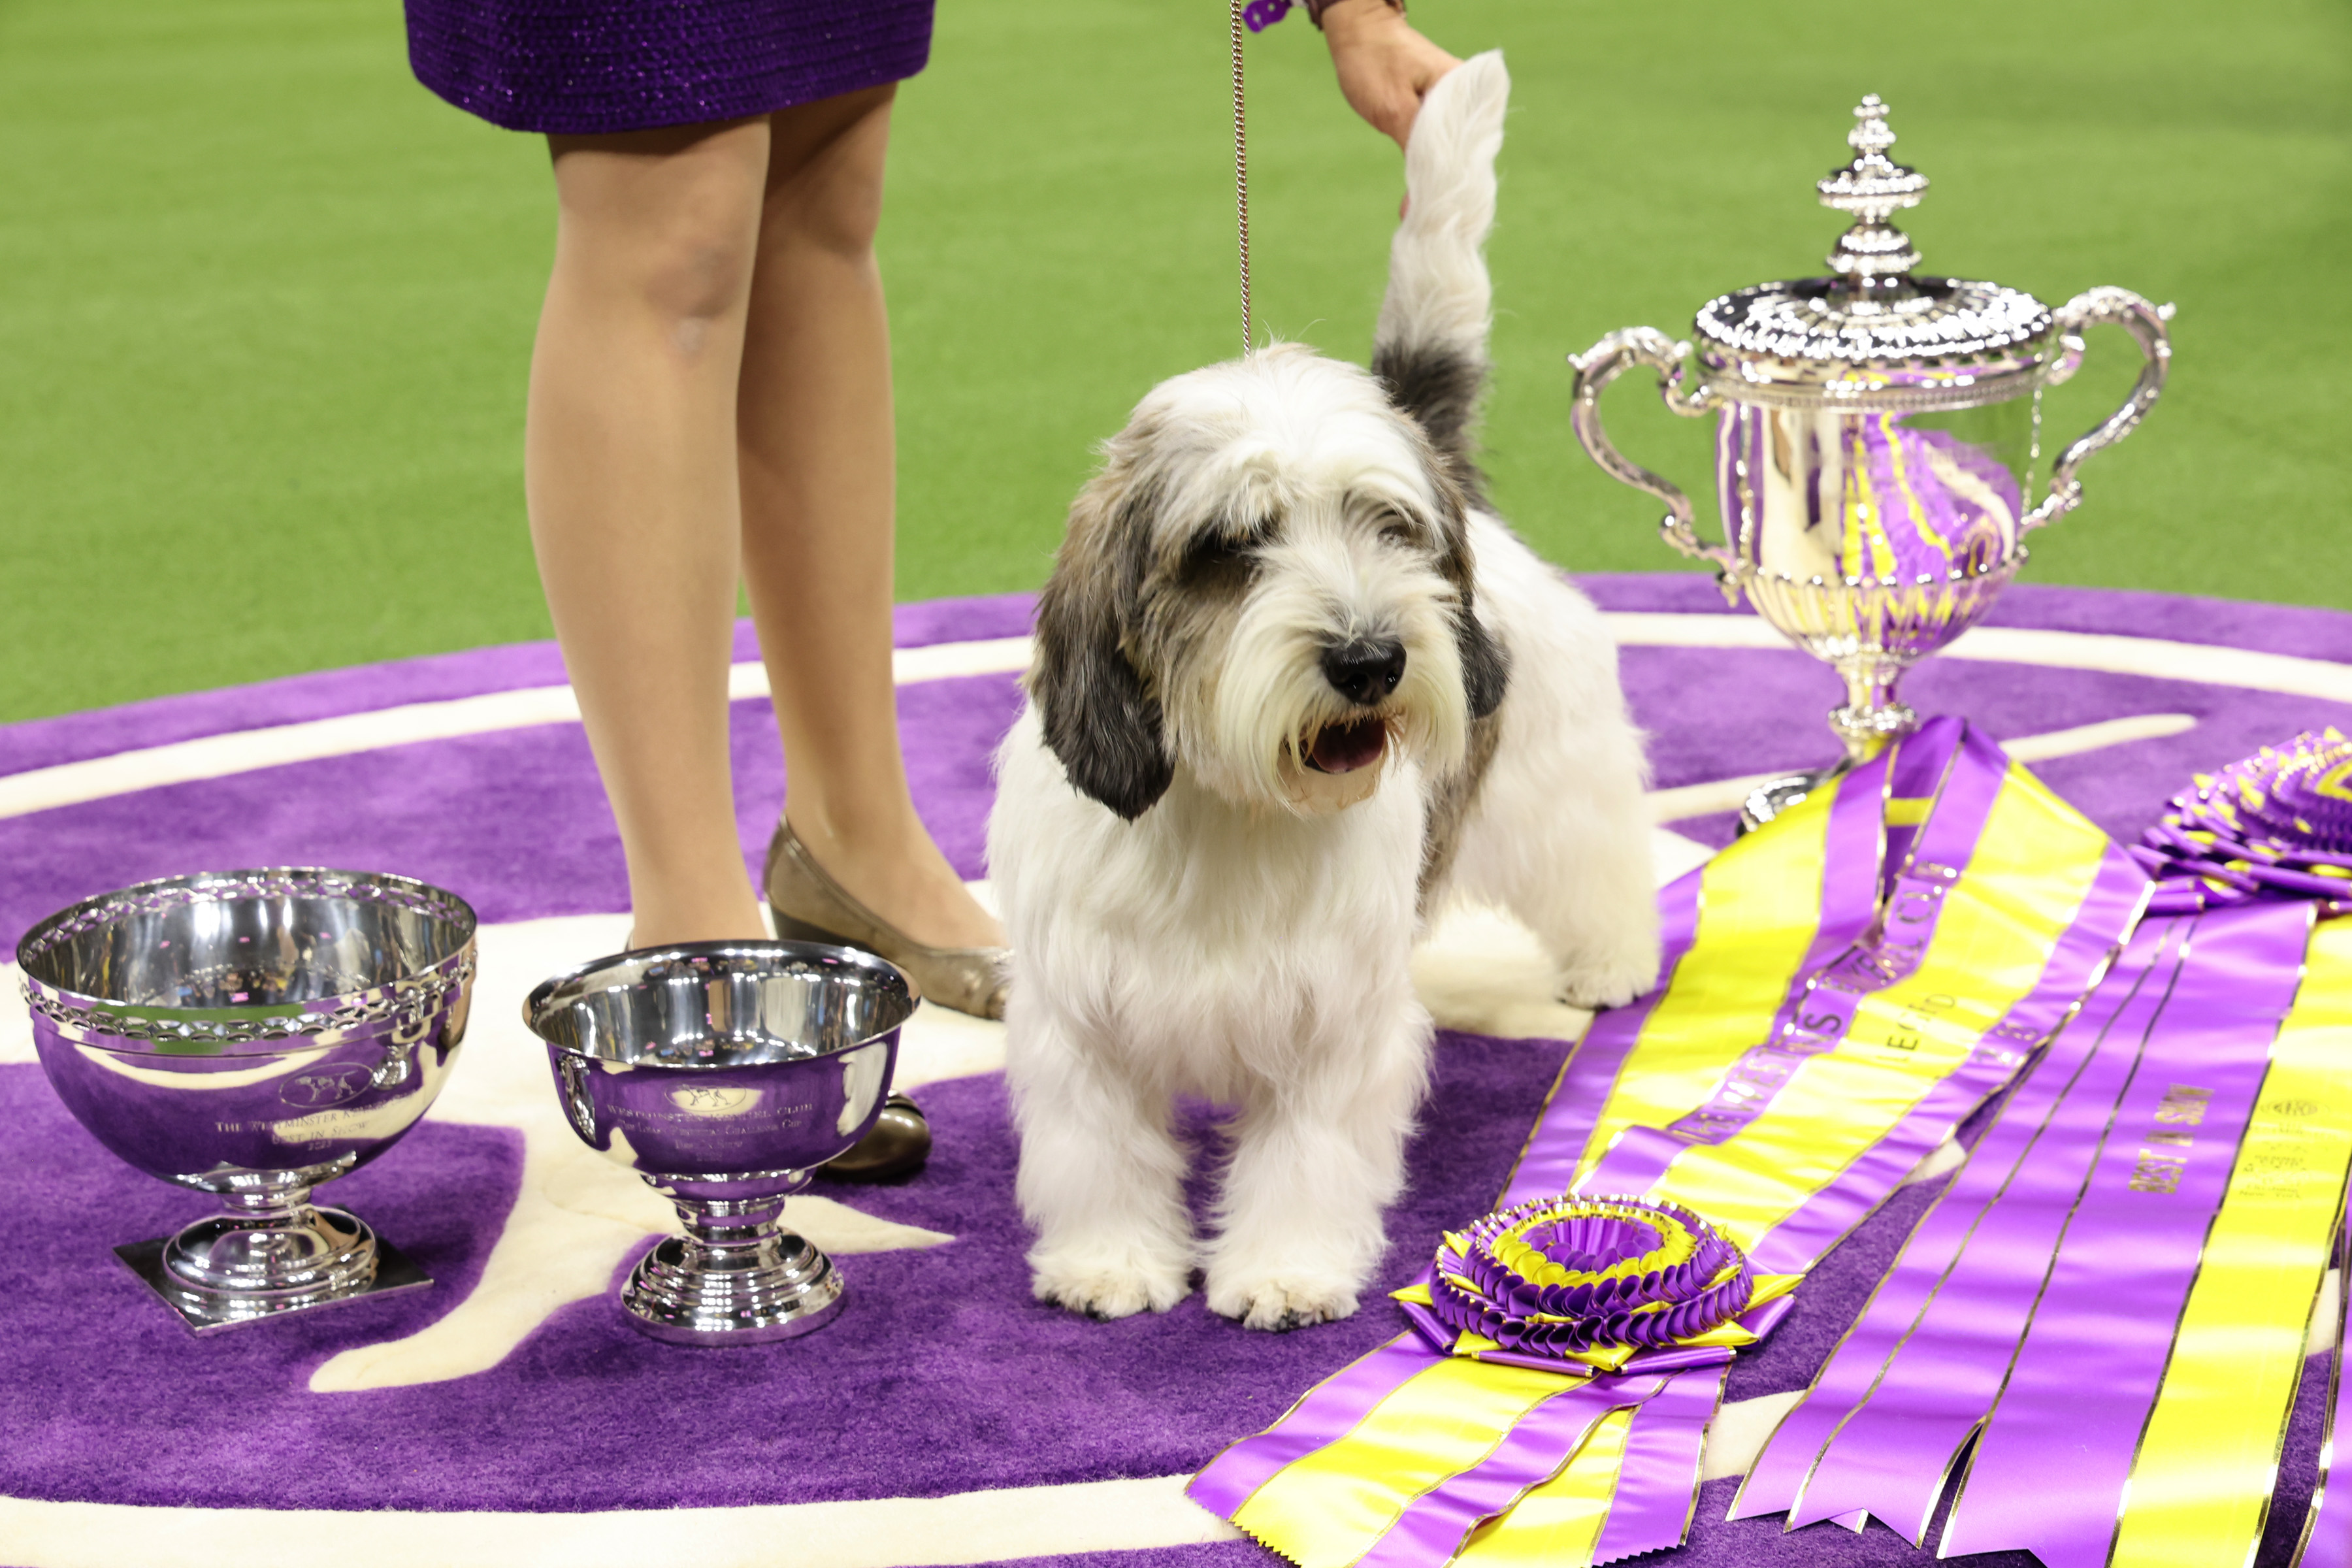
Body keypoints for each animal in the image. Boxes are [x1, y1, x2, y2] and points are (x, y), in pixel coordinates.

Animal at [983, 58, 1665, 1335]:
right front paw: (1111, 1263)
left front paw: (1286, 1272)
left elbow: (1307, 1158)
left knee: (1598, 861)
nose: (1368, 658)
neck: (1231, 812)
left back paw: (1613, 961)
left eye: (1386, 526)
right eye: (1230, 545)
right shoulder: (1081, 1026)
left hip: (1562, 776)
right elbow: (1101, 1151)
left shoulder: (1336, 1025)